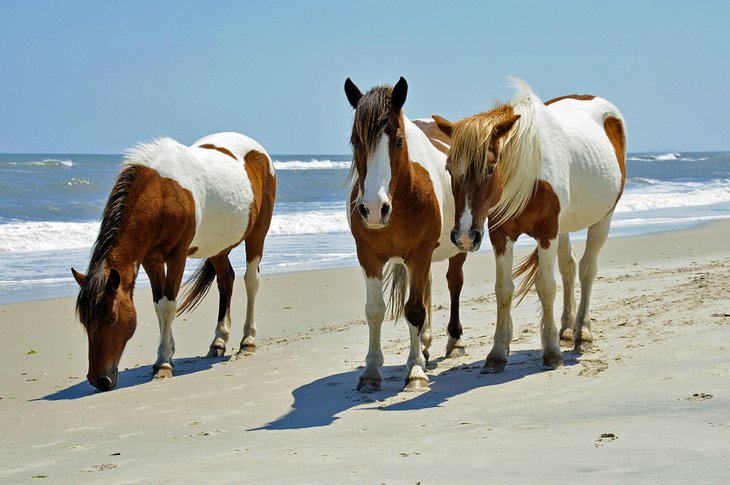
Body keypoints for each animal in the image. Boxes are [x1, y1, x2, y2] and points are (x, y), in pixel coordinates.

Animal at [72, 131, 276, 390]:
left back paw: (247, 341)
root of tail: (259, 151)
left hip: (258, 233)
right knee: (225, 281)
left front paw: (163, 364)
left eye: (111, 319)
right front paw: (166, 354)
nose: (99, 380)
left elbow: (168, 305)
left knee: (251, 281)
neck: (162, 194)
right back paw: (218, 342)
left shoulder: (177, 256)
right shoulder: (151, 259)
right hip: (217, 247)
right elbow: (158, 304)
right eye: (84, 322)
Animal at [342, 76, 466, 394]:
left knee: (453, 284)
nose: (374, 209)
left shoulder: (419, 254)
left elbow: (414, 310)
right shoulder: (368, 256)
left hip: (457, 247)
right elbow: (375, 310)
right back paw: (424, 345)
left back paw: (454, 341)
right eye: (356, 141)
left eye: (398, 141)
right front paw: (371, 372)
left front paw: (415, 372)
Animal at [432, 79, 624, 372]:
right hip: (564, 227)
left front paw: (552, 353)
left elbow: (545, 285)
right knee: (569, 268)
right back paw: (567, 330)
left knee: (587, 269)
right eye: (449, 169)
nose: (464, 236)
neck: (527, 174)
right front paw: (497, 353)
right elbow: (503, 289)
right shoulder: (500, 235)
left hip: (603, 218)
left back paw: (583, 333)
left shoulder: (547, 232)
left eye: (490, 168)